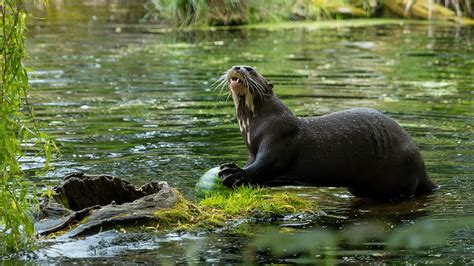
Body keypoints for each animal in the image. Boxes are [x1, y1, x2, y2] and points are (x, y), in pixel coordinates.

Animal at [215, 66, 436, 200]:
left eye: (251, 70)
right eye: (237, 66)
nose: (237, 67)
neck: (255, 128)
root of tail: (422, 169)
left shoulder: (279, 137)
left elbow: (265, 165)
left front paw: (234, 172)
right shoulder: (253, 150)